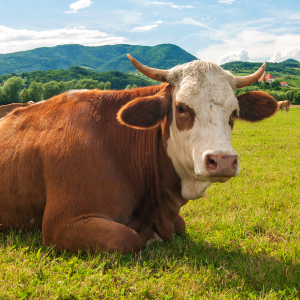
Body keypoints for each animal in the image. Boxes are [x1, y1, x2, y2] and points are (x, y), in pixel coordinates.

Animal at [0, 55, 278, 253]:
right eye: (181, 108)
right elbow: (127, 238)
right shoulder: (62, 223)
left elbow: (181, 224)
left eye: (234, 112)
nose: (222, 160)